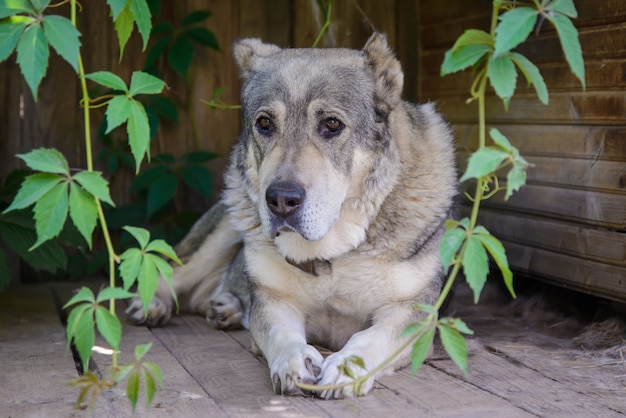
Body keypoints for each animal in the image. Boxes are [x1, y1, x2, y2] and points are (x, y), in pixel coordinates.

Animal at [128, 32, 458, 398]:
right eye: (264, 123)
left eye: (332, 124)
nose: (281, 201)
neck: (334, 252)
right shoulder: (274, 301)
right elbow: (280, 334)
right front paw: (293, 362)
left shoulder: (415, 312)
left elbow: (370, 336)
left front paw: (346, 367)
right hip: (222, 232)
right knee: (171, 272)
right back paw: (152, 305)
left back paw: (226, 308)